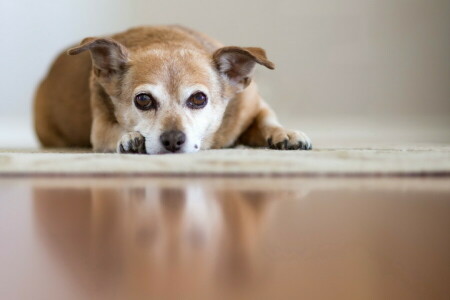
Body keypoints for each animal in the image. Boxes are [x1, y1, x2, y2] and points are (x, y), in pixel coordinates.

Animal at [33, 24, 312, 154]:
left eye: (199, 99)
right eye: (143, 100)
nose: (173, 139)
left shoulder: (253, 107)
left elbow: (267, 120)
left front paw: (285, 133)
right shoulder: (100, 130)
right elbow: (115, 130)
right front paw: (129, 138)